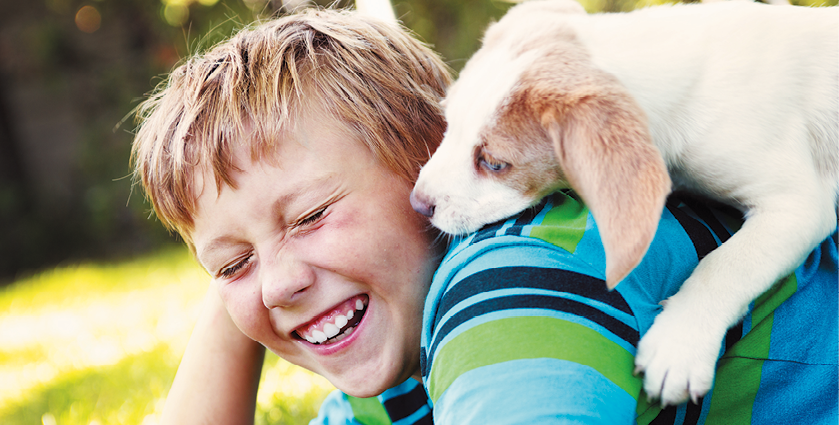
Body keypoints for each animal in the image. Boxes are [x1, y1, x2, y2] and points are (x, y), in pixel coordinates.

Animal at [414, 0, 839, 406]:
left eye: (494, 163)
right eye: (448, 123)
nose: (418, 204)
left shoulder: (797, 204)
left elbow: (727, 264)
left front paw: (678, 346)